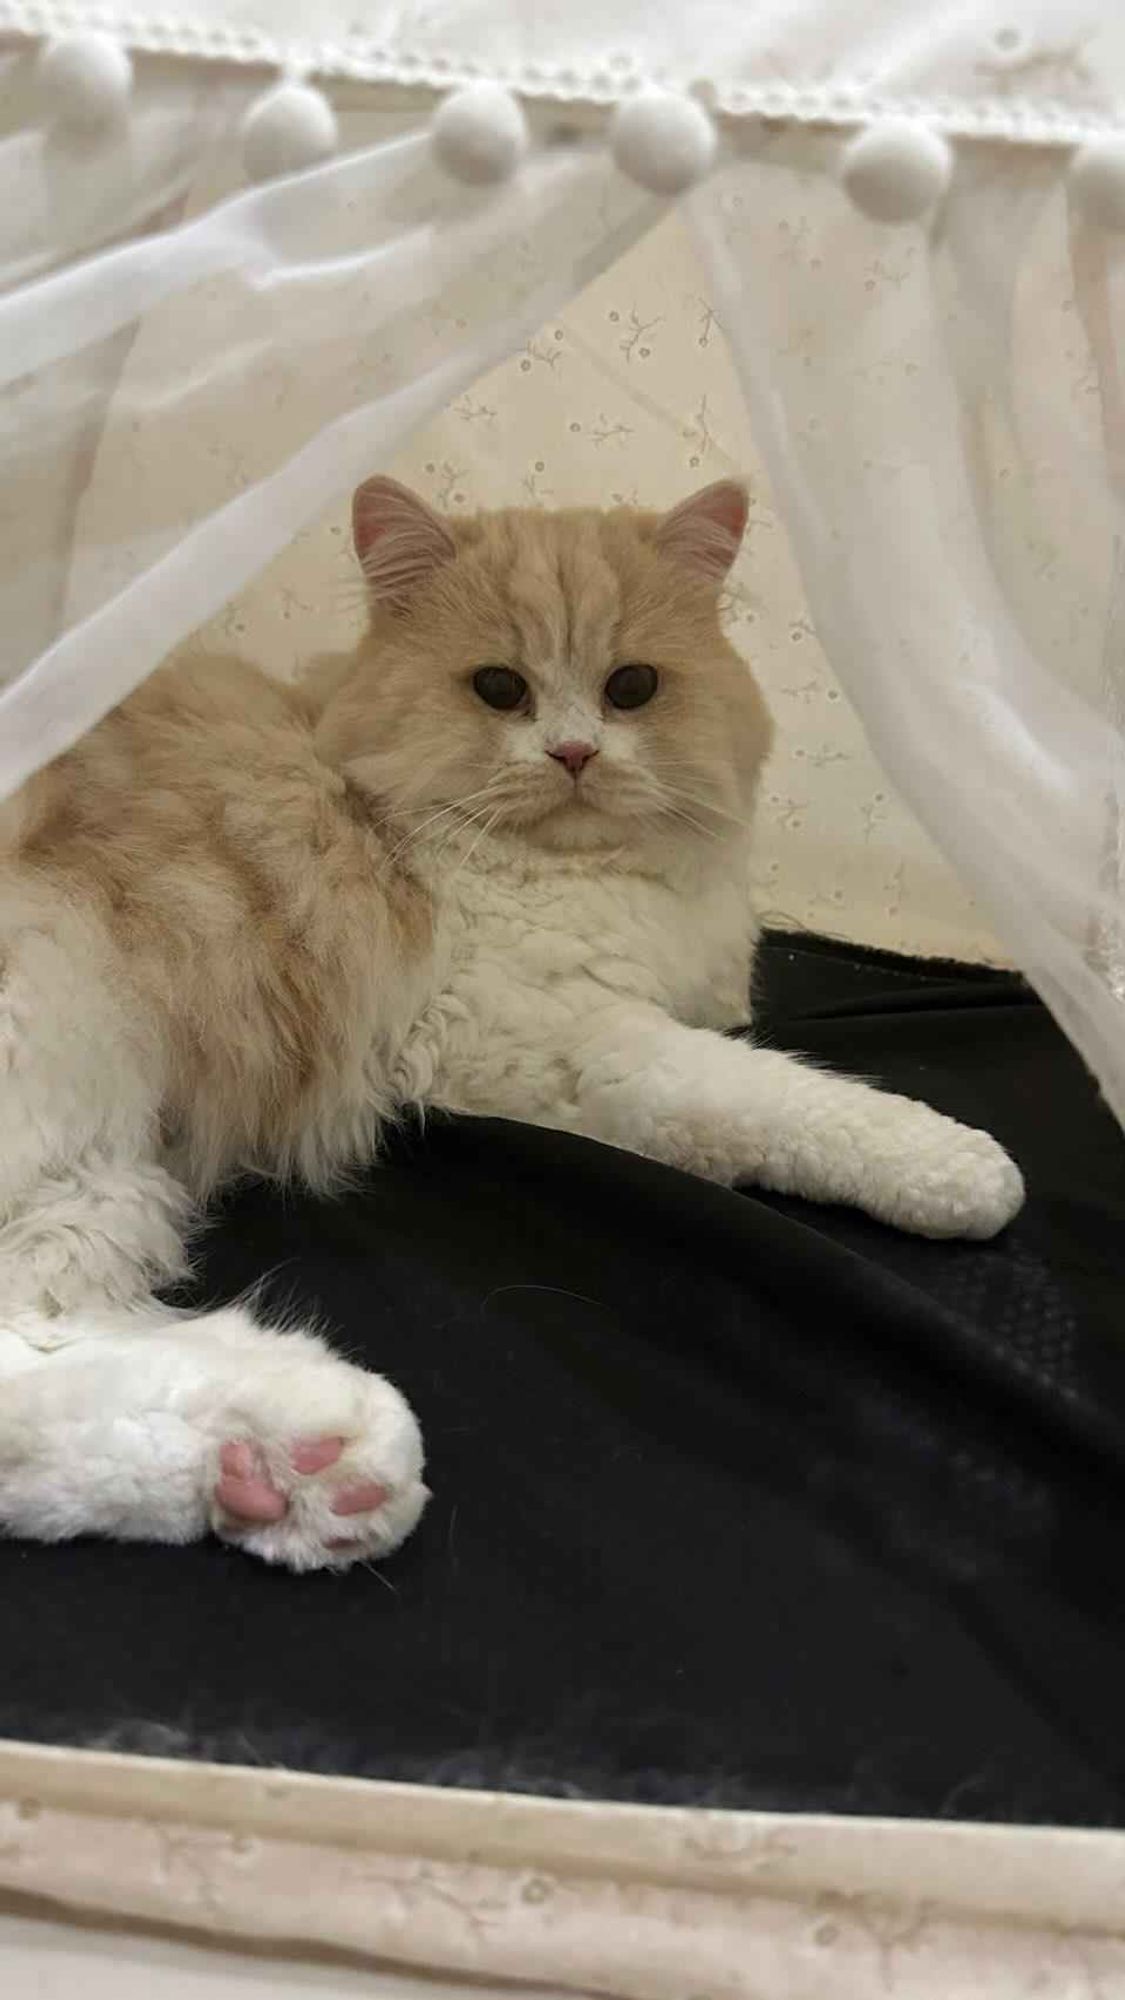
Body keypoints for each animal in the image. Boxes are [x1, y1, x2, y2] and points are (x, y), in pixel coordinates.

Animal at [0, 476, 1020, 1568]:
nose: (573, 751)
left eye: (631, 688)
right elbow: (795, 1103)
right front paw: (967, 1172)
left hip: (104, 1180)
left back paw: (294, 1474)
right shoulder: (555, 1041)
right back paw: (321, 1445)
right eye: (499, 689)